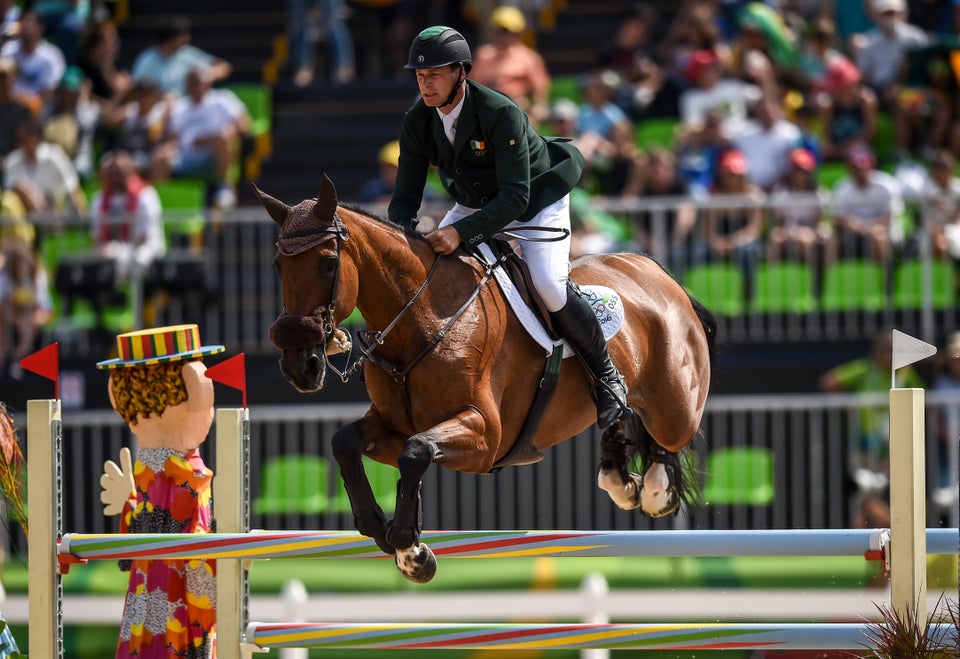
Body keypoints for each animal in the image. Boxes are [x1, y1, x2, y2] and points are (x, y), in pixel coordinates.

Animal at [257, 175, 717, 584]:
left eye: (329, 263)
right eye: (277, 266)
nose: (300, 366)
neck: (423, 319)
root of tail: (657, 272)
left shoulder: (485, 437)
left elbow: (416, 452)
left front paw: (411, 552)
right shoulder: (393, 426)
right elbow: (348, 443)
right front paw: (378, 526)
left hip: (674, 407)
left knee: (670, 436)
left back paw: (655, 488)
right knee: (621, 413)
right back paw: (619, 473)